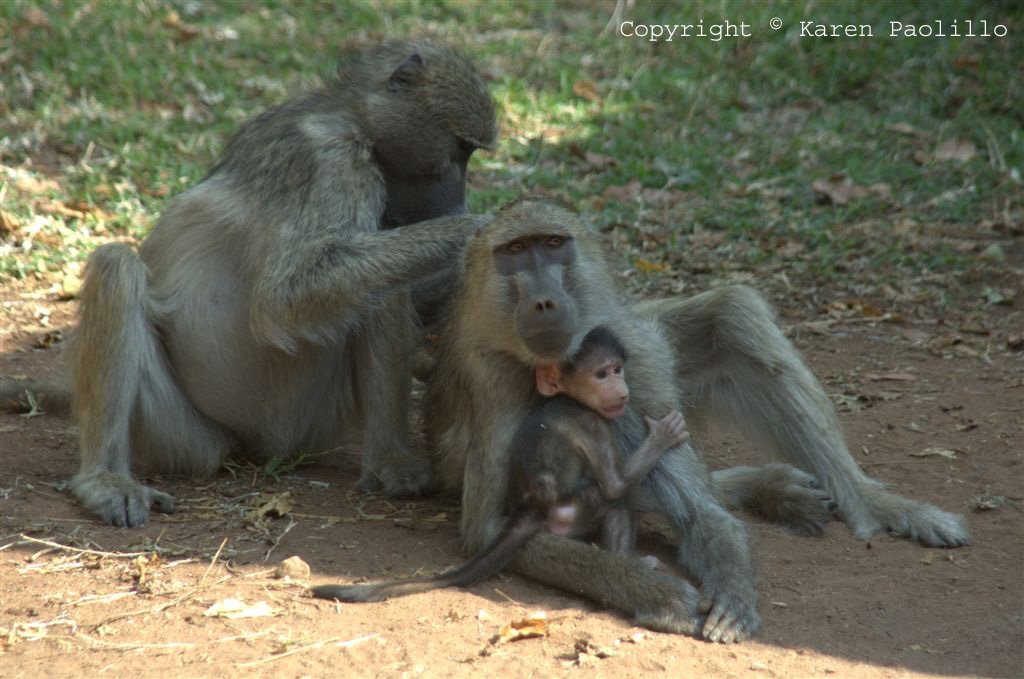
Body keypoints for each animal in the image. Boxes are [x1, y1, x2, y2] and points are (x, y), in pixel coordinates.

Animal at [62, 40, 498, 527]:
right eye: (461, 150)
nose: (456, 199)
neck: (353, 117)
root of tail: (261, 448)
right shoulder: (331, 163)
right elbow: (285, 298)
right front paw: (472, 230)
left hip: (316, 422)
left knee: (383, 291)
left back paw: (390, 462)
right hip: (184, 439)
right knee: (116, 266)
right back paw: (104, 480)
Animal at [311, 326, 689, 603]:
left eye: (617, 369)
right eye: (601, 374)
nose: (621, 388)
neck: (568, 398)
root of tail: (533, 506)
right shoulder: (593, 424)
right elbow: (614, 484)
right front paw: (662, 437)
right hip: (574, 511)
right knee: (613, 501)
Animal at [423, 196, 969, 643]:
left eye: (553, 245)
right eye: (515, 251)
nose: (542, 300)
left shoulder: (635, 360)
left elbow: (702, 512)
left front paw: (733, 592)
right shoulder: (492, 381)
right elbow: (488, 532)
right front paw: (654, 591)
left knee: (733, 312)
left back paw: (869, 504)